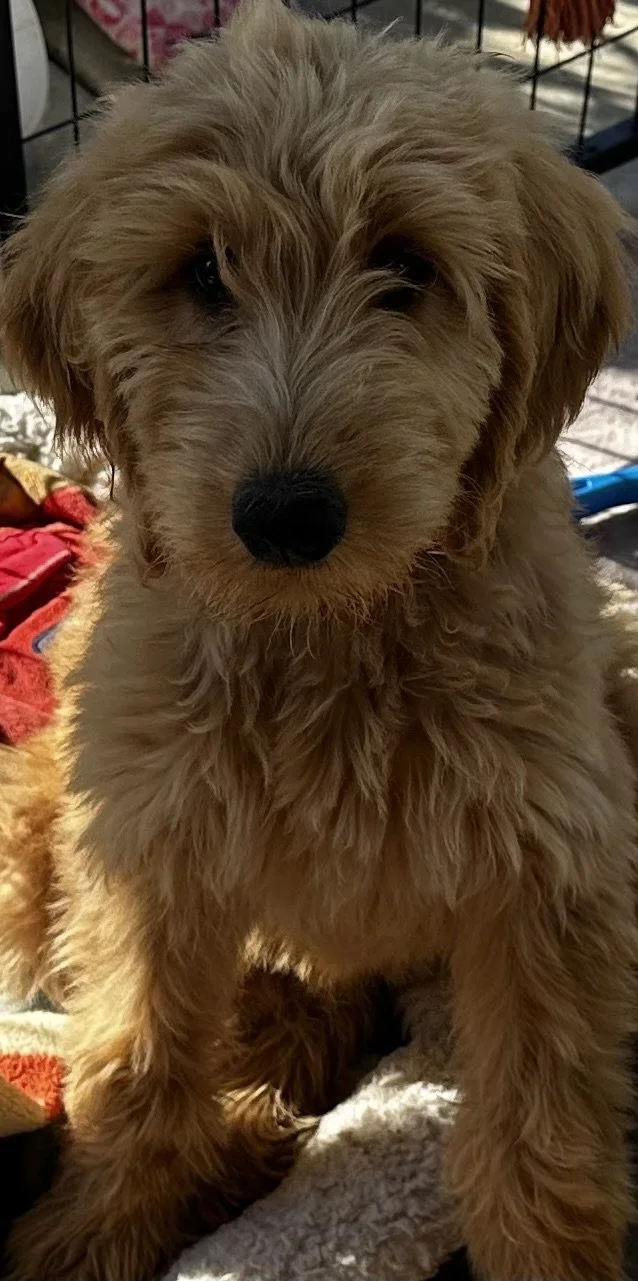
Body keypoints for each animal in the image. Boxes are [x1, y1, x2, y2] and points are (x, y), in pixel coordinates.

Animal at [0, 1, 637, 1277]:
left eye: (406, 265)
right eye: (201, 271)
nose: (286, 515)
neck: (325, 639)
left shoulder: (550, 866)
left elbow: (536, 1126)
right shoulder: (149, 857)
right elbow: (134, 1065)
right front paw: (91, 1231)